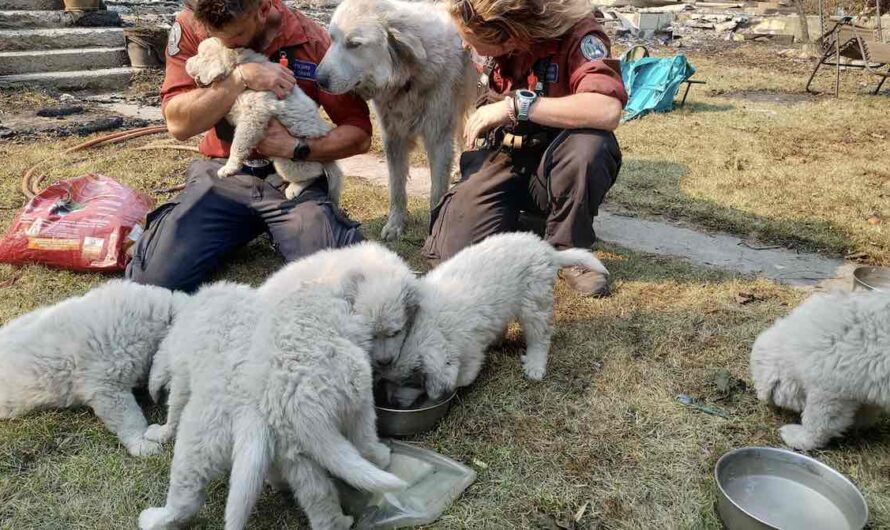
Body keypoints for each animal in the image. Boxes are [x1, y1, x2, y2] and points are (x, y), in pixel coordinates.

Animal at [140, 278, 404, 524]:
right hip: (344, 401)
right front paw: (162, 430)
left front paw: (161, 430)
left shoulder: (182, 368)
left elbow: (175, 404)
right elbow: (175, 406)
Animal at [185, 36, 344, 202]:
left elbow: (237, 145)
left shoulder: (252, 116)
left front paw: (229, 167)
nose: (186, 62)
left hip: (289, 162)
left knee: (314, 173)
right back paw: (276, 179)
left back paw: (293, 188)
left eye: (199, 55)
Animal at [378, 232, 608, 404]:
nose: (392, 402)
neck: (431, 324)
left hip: (534, 300)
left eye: (411, 383)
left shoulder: (469, 351)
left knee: (540, 337)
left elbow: (462, 376)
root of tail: (545, 249)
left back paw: (535, 365)